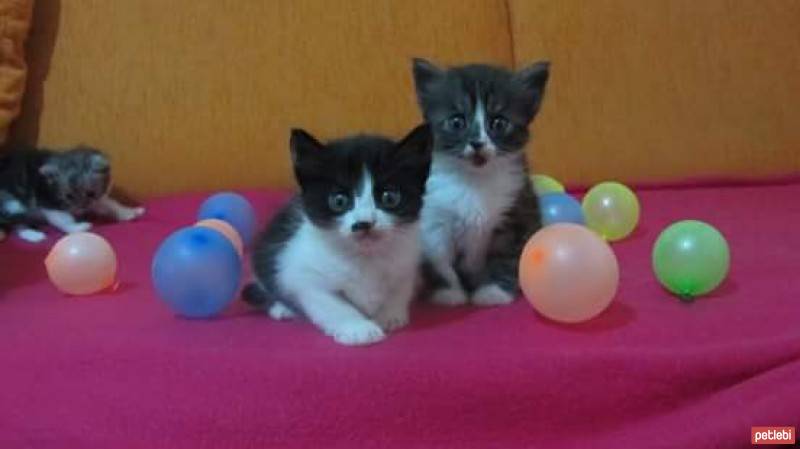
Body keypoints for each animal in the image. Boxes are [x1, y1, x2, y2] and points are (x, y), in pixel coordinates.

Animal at [0, 144, 145, 242]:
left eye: (91, 194)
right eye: (68, 196)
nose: (81, 210)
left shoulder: (97, 200)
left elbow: (110, 204)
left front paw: (129, 212)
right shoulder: (47, 202)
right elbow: (63, 219)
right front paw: (77, 228)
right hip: (12, 203)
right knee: (17, 223)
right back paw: (33, 235)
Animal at [242, 124, 432, 344]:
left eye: (390, 197)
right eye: (339, 201)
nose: (363, 223)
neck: (365, 256)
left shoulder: (407, 263)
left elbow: (400, 289)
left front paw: (389, 316)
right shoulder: (302, 272)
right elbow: (332, 304)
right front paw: (359, 328)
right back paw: (282, 308)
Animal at [412, 57, 552, 306]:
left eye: (498, 123)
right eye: (457, 122)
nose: (477, 143)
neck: (474, 180)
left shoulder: (516, 212)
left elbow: (505, 255)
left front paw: (493, 292)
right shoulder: (434, 219)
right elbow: (440, 259)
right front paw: (449, 293)